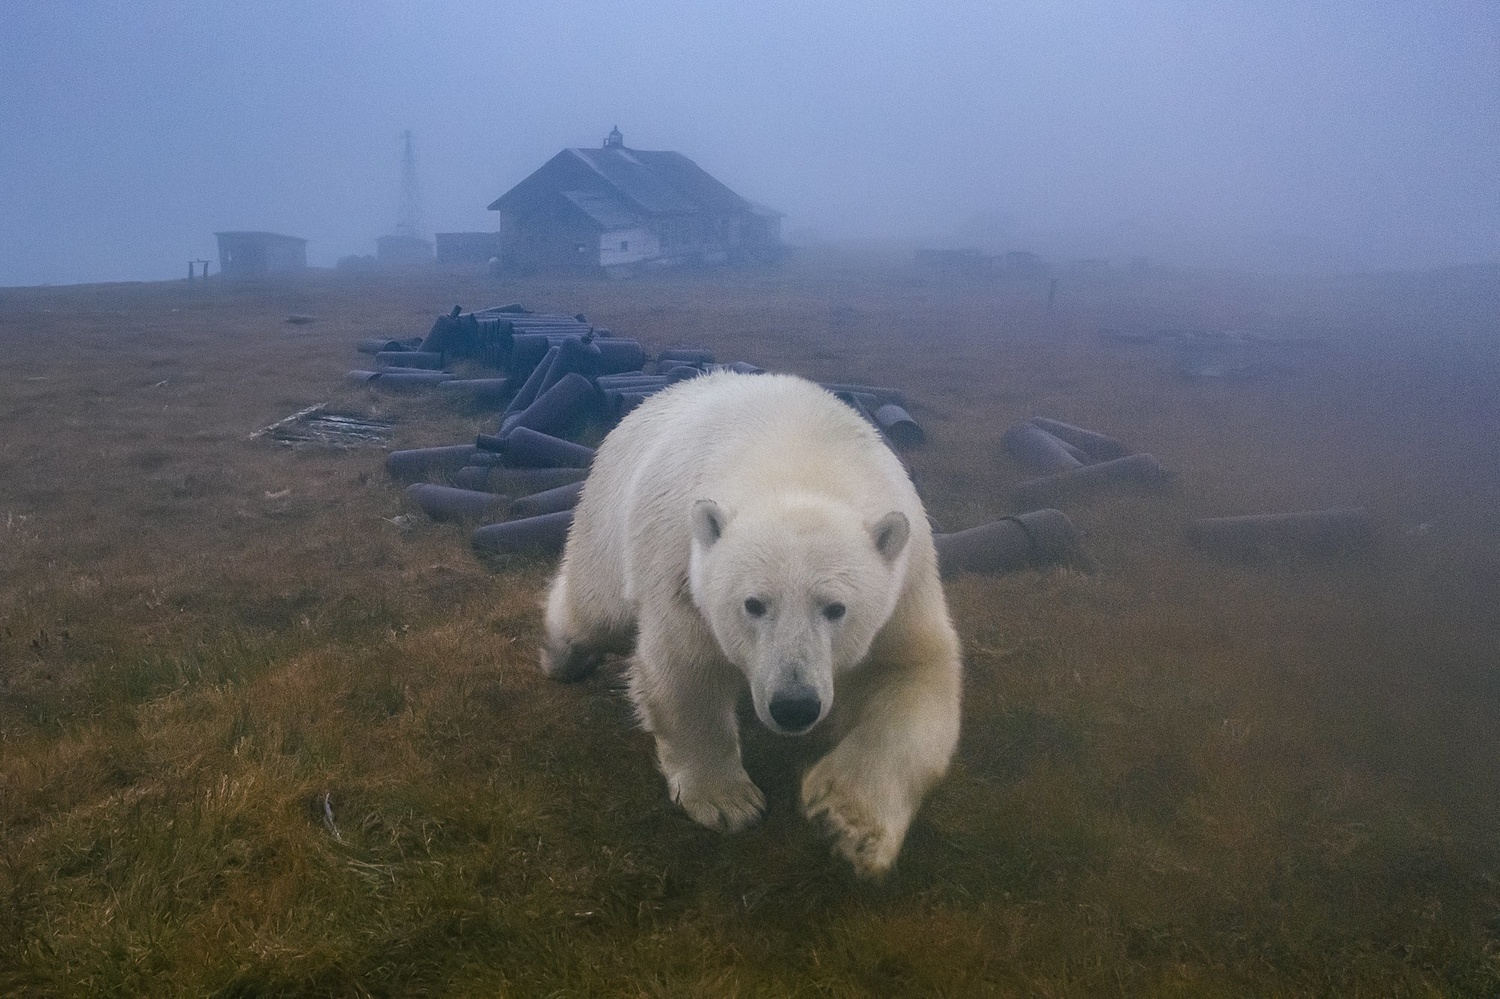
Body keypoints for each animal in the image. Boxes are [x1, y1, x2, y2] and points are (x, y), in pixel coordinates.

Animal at [540, 369, 960, 876]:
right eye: (754, 605)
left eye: (835, 608)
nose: (794, 705)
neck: (799, 460)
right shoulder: (680, 560)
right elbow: (687, 669)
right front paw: (727, 802)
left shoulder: (906, 583)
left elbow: (914, 674)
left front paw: (848, 822)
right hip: (607, 514)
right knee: (593, 609)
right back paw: (562, 656)